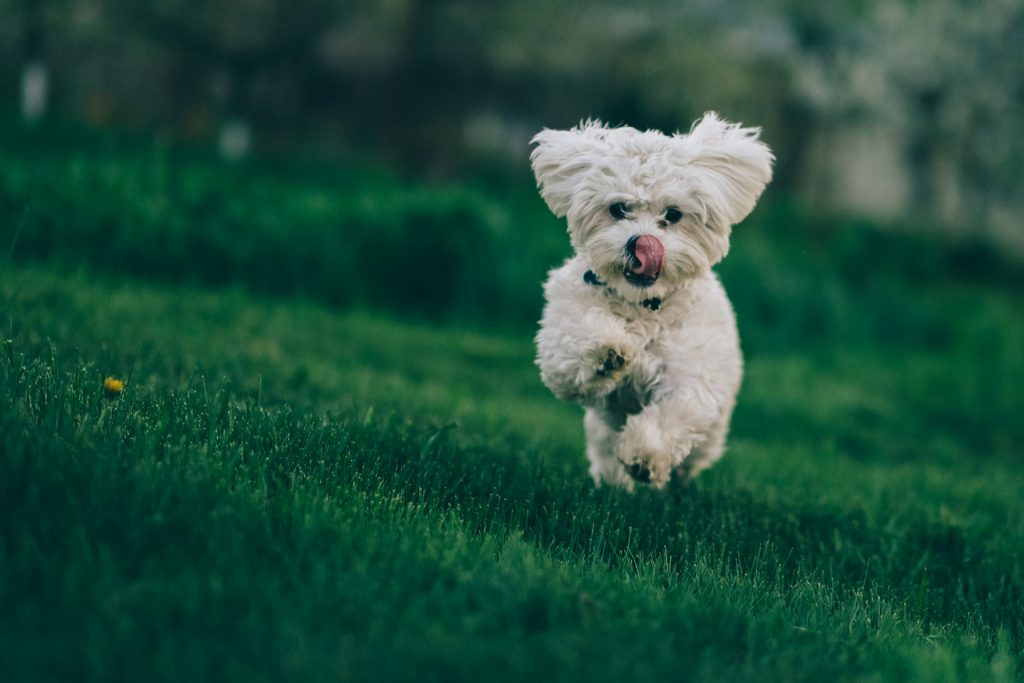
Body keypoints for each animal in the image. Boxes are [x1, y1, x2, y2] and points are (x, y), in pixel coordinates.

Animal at [532, 112, 770, 489]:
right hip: (601, 432)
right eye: (617, 209)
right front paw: (608, 351)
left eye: (673, 215)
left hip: (710, 437)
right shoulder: (561, 341)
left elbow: (673, 414)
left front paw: (644, 456)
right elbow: (574, 347)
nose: (640, 243)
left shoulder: (690, 376)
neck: (643, 305)